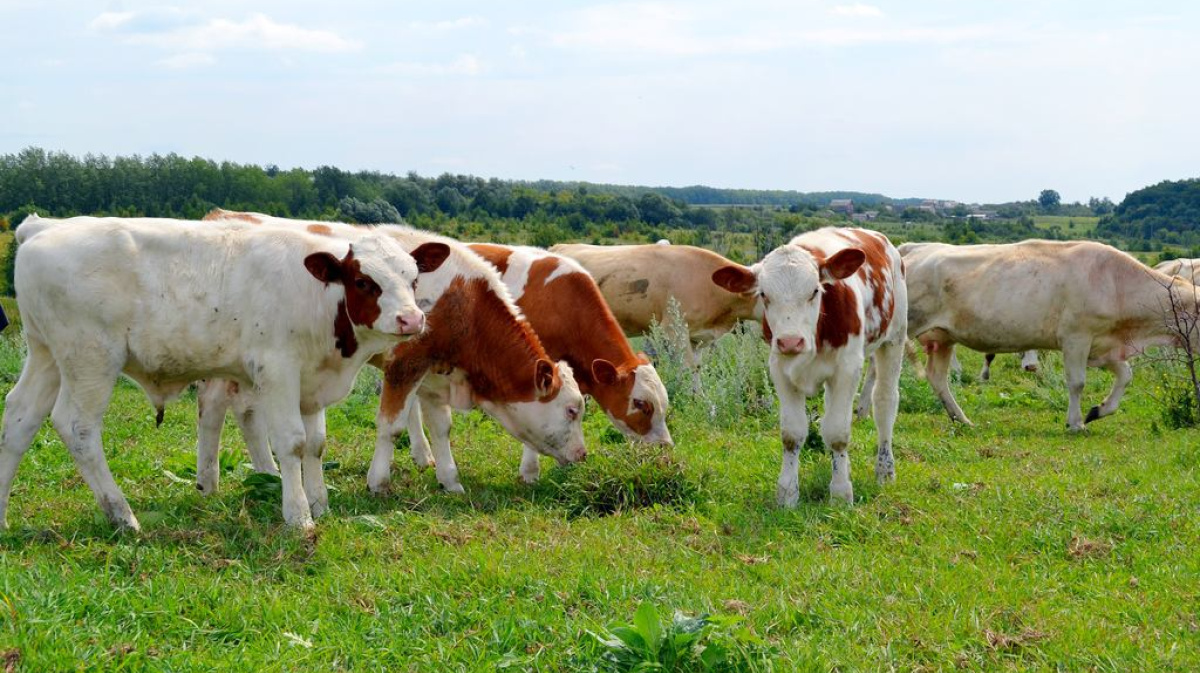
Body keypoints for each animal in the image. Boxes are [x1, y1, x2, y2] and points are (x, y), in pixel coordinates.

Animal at [0, 214, 448, 530]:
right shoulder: (277, 371)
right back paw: (121, 514)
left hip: (46, 354)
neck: (320, 300)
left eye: (413, 279)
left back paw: (3, 516)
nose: (411, 319)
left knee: (20, 418)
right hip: (90, 359)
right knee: (76, 427)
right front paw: (299, 516)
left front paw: (320, 503)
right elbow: (292, 444)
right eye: (363, 281)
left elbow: (317, 444)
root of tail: (44, 226)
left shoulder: (312, 382)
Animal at [194, 209, 588, 494]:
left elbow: (441, 427)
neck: (462, 298)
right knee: (217, 408)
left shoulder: (433, 373)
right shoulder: (405, 364)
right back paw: (215, 480)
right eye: (571, 410)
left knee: (238, 410)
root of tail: (220, 216)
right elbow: (391, 426)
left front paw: (450, 480)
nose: (583, 454)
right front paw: (378, 482)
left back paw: (260, 474)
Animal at [405, 243, 676, 484]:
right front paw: (530, 472)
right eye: (640, 404)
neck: (561, 304)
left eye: (664, 405)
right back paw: (423, 455)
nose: (665, 448)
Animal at [705, 225, 902, 503]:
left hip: (894, 339)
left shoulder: (848, 368)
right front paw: (787, 493)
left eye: (815, 291)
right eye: (764, 294)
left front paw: (840, 493)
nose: (790, 341)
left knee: (885, 402)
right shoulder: (779, 370)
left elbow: (838, 433)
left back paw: (885, 470)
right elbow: (792, 434)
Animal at [902, 238, 1195, 427]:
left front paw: (1098, 411)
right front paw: (1076, 423)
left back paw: (961, 419)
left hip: (942, 338)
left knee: (937, 377)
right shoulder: (1076, 338)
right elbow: (1077, 382)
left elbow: (1126, 375)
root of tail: (911, 250)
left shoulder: (1102, 345)